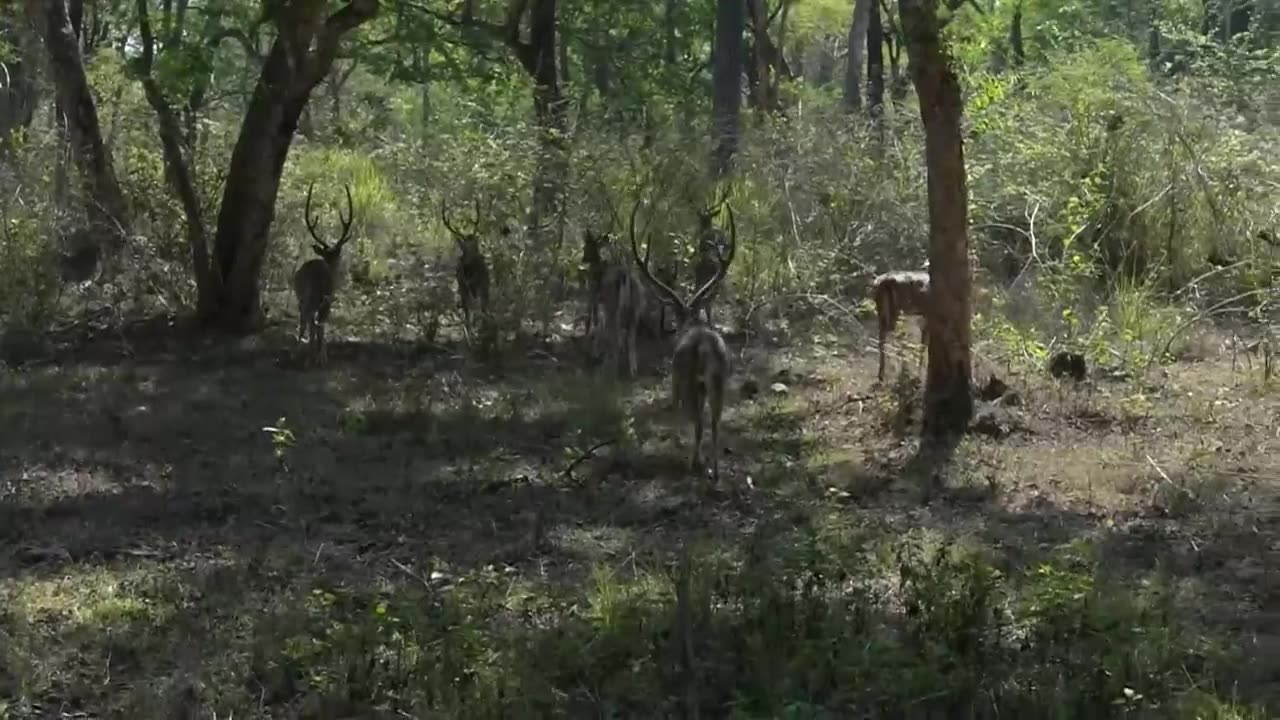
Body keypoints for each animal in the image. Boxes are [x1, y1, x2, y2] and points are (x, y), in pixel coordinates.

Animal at [293, 179, 355, 363]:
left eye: (336, 255)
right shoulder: (319, 301)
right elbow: (315, 328)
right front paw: (315, 356)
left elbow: (318, 328)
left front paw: (319, 355)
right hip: (309, 299)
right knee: (310, 323)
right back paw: (305, 353)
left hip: (311, 301)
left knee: (312, 324)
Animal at [627, 194, 737, 481]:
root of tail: (705, 347)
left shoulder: (675, 382)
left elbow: (676, 413)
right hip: (718, 381)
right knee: (715, 422)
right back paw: (715, 470)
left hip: (688, 380)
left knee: (698, 422)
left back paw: (693, 463)